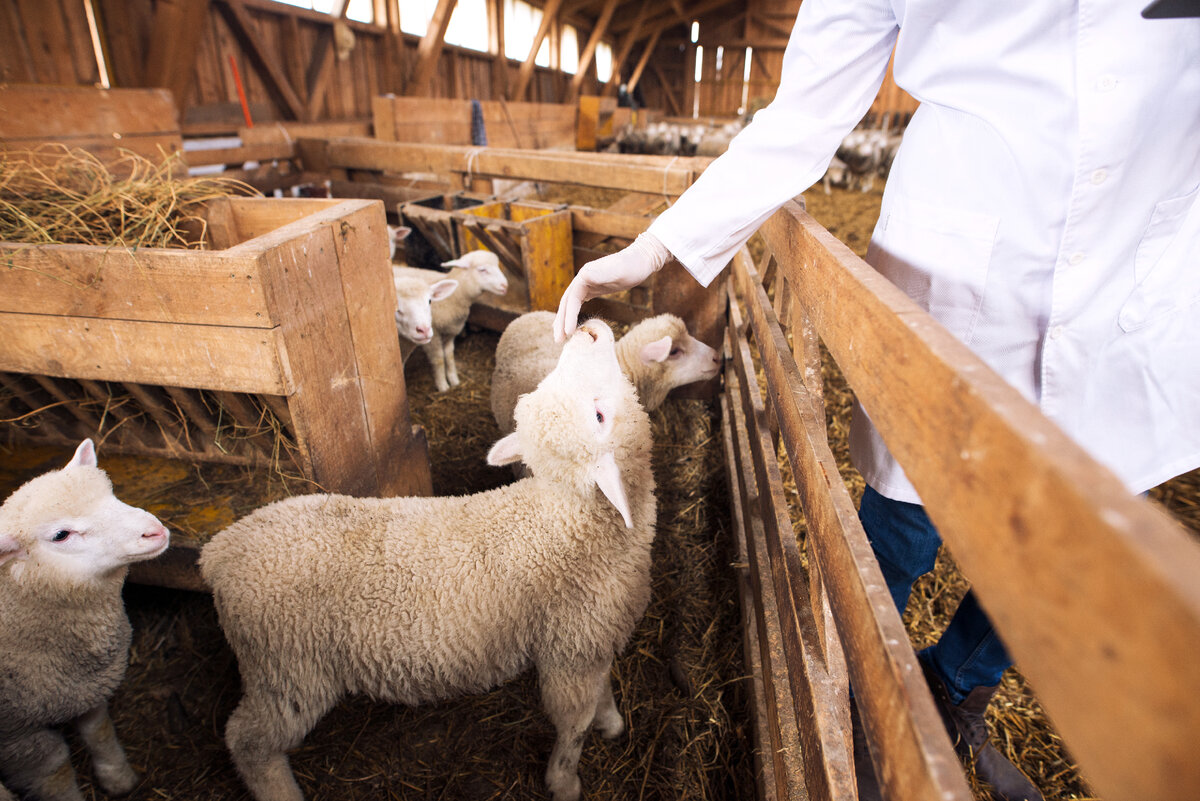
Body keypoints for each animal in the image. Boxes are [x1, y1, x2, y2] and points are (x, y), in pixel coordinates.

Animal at [0, 441, 171, 796]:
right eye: (61, 535)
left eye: (111, 493)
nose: (154, 532)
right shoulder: (17, 735)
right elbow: (55, 772)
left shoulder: (86, 689)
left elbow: (99, 731)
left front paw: (118, 778)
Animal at [201, 316, 662, 801]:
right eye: (599, 416)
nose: (586, 330)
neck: (568, 520)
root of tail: (220, 550)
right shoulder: (569, 650)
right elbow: (573, 724)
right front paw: (565, 781)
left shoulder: (594, 639)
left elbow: (602, 690)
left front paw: (611, 722)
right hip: (288, 668)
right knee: (248, 740)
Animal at [393, 248, 506, 388]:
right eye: (482, 270)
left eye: (429, 301)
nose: (505, 286)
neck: (455, 296)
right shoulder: (434, 336)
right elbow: (439, 359)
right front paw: (443, 385)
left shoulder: (450, 332)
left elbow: (449, 355)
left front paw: (454, 380)